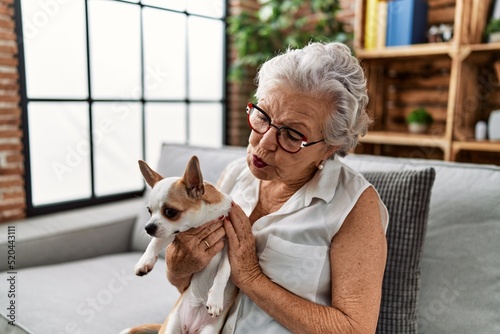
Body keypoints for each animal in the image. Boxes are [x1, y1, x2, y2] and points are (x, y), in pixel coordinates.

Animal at [128, 157, 239, 334]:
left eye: (170, 212)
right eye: (149, 211)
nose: (148, 227)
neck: (205, 220)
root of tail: (190, 329)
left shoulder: (231, 246)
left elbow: (223, 271)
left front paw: (215, 299)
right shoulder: (171, 232)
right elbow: (154, 242)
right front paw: (144, 262)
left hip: (208, 330)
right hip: (172, 325)